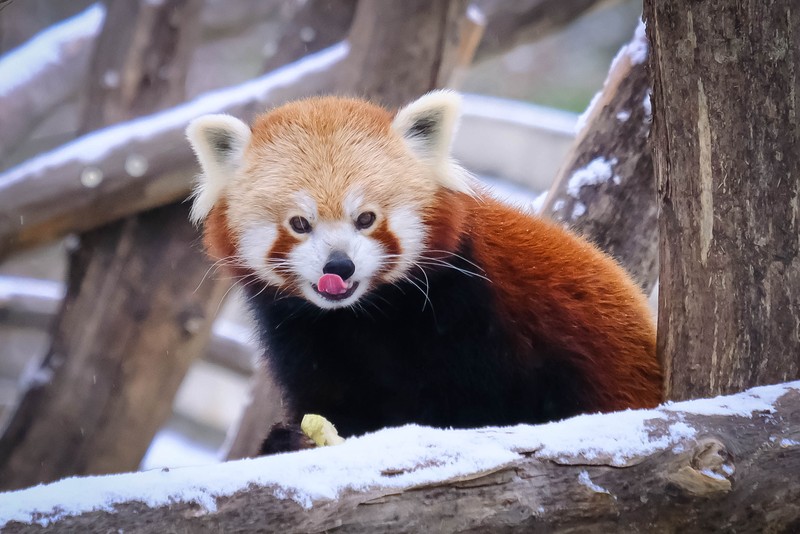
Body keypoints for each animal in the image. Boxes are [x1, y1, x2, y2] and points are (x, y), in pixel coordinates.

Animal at [188, 91, 664, 452]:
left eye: (366, 218)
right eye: (300, 224)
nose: (338, 266)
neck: (365, 315)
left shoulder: (472, 315)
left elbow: (470, 408)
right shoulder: (303, 337)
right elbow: (332, 402)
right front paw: (293, 439)